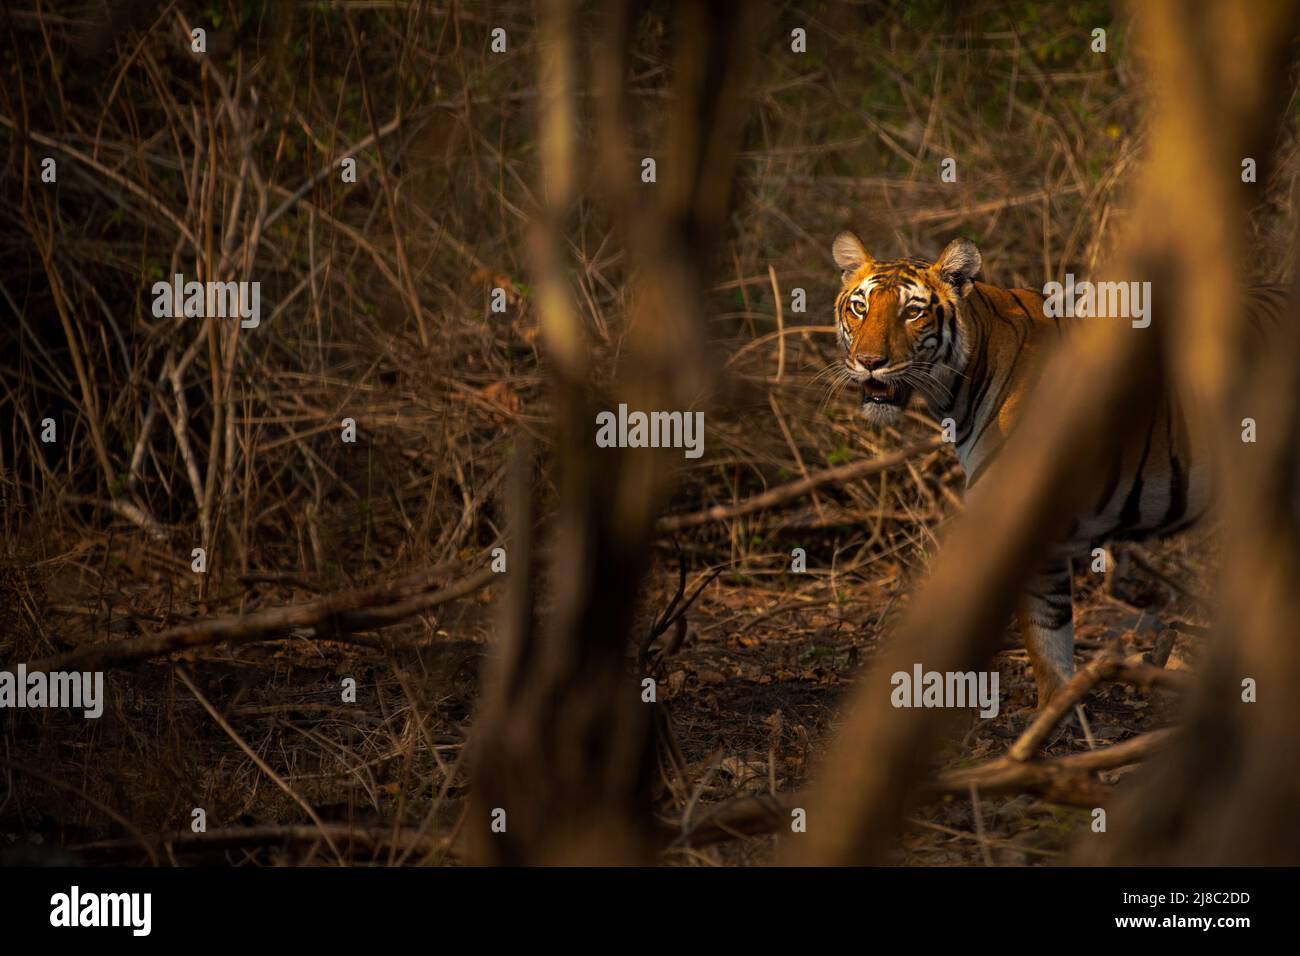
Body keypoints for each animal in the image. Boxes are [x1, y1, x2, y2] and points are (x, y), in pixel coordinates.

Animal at [832, 230, 1289, 712]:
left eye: (912, 312)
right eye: (859, 307)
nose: (869, 361)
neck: (961, 386)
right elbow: (1049, 637)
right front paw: (1053, 718)